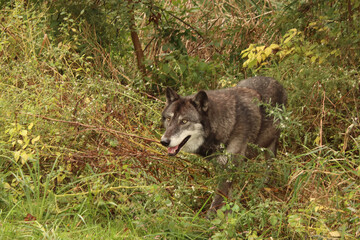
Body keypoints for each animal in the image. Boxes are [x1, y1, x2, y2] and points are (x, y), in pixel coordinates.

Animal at [160, 76, 286, 214]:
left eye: (184, 121)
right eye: (168, 119)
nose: (164, 141)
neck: (223, 124)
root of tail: (275, 81)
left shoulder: (228, 170)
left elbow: (217, 201)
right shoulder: (223, 168)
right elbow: (226, 198)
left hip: (270, 149)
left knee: (268, 170)